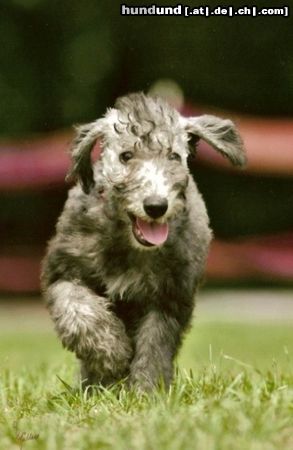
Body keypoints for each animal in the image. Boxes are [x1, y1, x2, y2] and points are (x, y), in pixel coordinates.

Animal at [41, 93, 245, 392]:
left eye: (174, 156)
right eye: (126, 156)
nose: (156, 206)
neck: (128, 244)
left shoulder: (169, 295)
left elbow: (154, 345)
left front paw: (146, 391)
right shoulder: (63, 270)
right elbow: (79, 309)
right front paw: (110, 352)